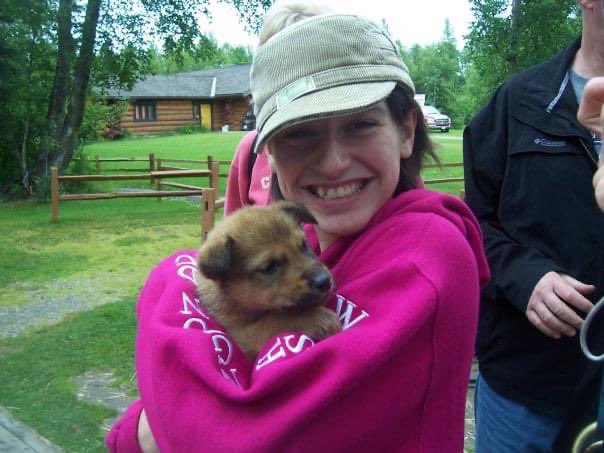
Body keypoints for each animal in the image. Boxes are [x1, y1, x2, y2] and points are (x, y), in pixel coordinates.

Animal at [197, 201, 342, 360]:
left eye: (304, 245)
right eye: (269, 266)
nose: (325, 281)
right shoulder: (239, 334)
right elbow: (277, 319)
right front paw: (318, 317)